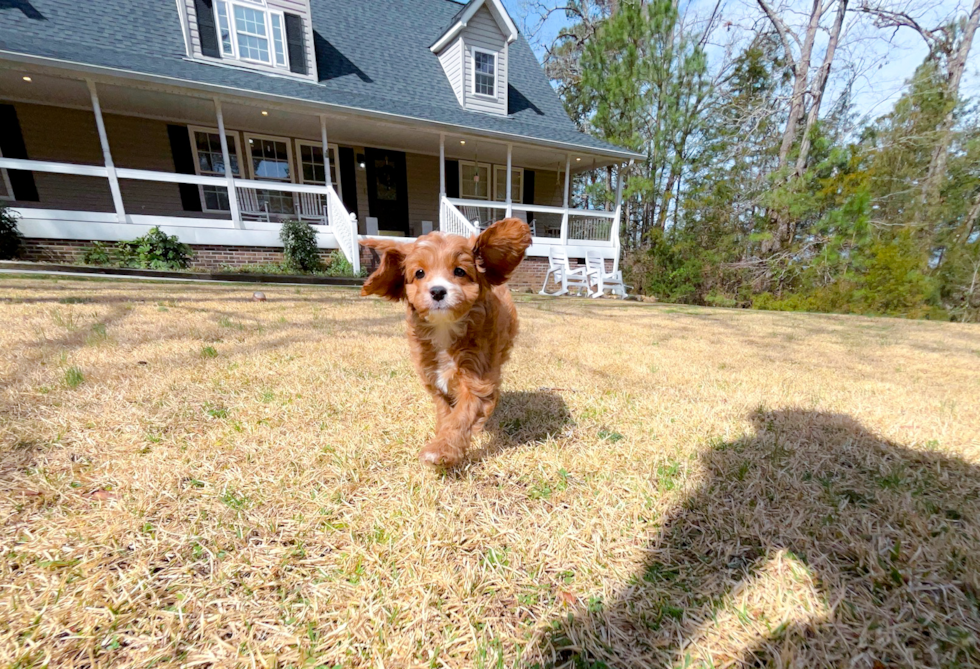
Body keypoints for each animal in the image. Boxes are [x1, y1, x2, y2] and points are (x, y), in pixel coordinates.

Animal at [360, 218, 532, 464]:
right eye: (419, 273)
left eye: (459, 271)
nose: (438, 291)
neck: (444, 328)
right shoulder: (432, 375)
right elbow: (445, 412)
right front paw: (442, 435)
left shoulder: (477, 377)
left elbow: (462, 415)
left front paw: (440, 449)